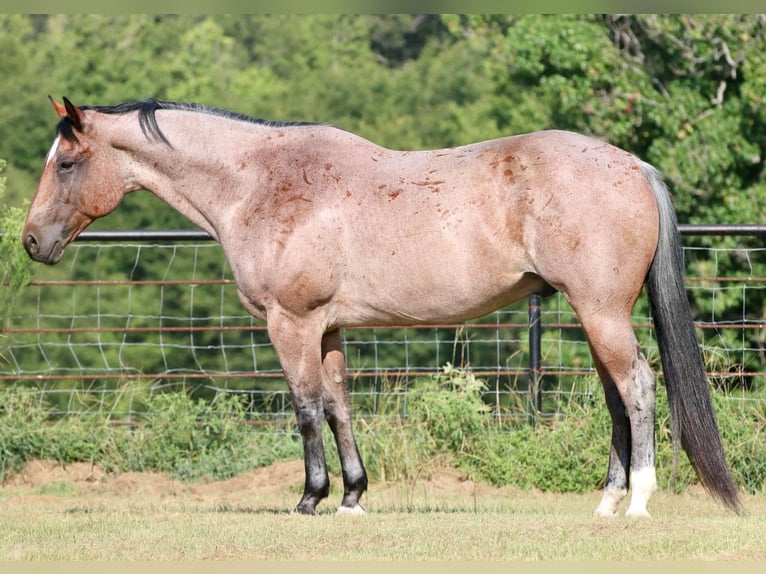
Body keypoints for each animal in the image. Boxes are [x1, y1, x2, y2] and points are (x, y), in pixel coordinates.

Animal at [24, 97, 744, 520]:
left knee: (638, 385)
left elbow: (305, 410)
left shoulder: (290, 323)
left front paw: (310, 498)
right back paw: (606, 501)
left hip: (602, 313)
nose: (32, 241)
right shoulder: (330, 328)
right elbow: (340, 408)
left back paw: (639, 501)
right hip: (595, 317)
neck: (261, 183)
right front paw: (351, 496)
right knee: (616, 398)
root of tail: (633, 166)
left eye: (67, 163)